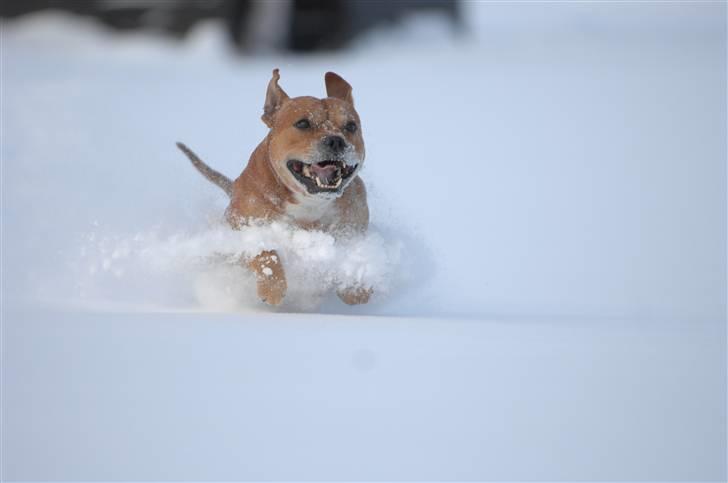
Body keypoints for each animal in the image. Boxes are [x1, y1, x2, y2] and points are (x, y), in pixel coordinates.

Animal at [177, 69, 370, 306]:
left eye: (351, 126)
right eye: (303, 123)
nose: (336, 141)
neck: (309, 203)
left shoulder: (353, 225)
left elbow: (351, 254)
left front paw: (355, 287)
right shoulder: (246, 230)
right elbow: (265, 252)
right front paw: (273, 287)